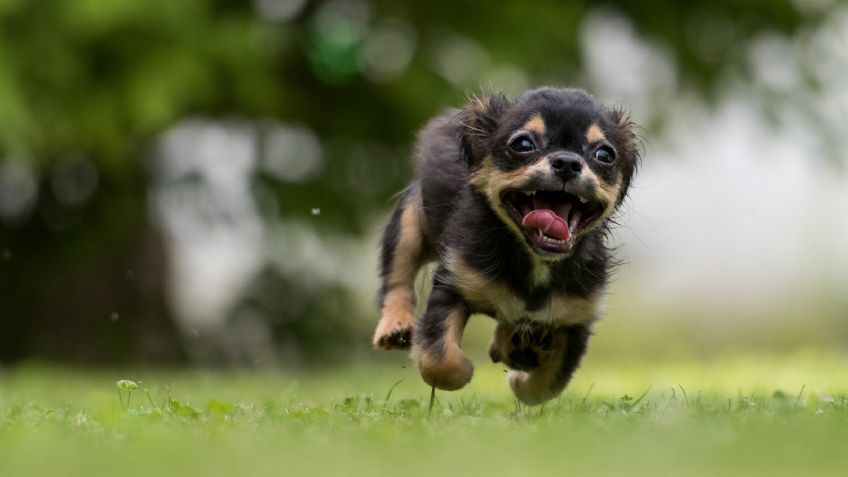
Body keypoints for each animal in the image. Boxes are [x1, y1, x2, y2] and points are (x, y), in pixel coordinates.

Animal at [374, 87, 640, 404]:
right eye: (523, 144)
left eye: (604, 154)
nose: (567, 162)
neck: (535, 260)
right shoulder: (453, 285)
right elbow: (439, 361)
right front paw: (465, 371)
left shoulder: (576, 319)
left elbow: (546, 386)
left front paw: (519, 380)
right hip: (409, 223)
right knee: (397, 278)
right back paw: (395, 326)